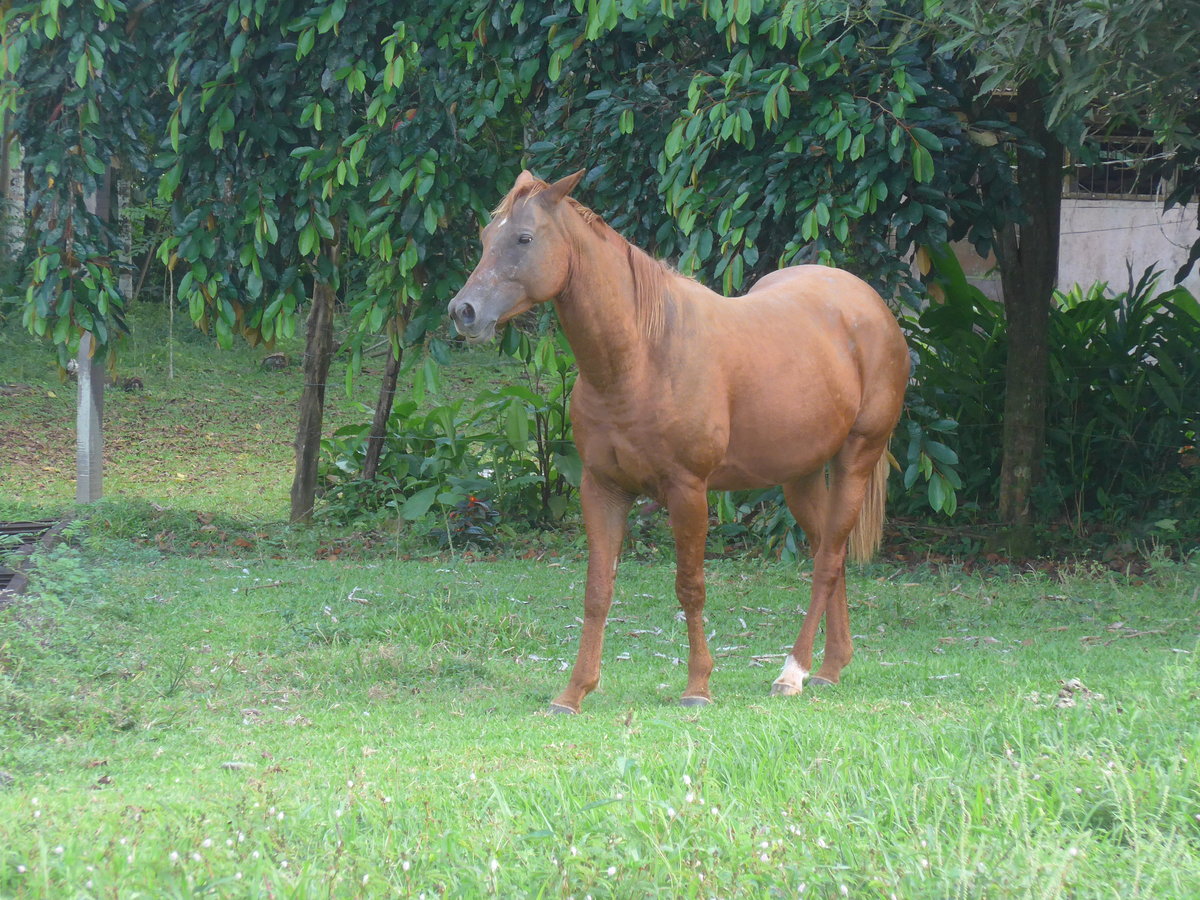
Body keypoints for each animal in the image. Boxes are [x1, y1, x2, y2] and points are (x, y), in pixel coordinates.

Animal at [448, 169, 909, 714]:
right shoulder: (602, 489)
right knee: (826, 555)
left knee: (828, 561)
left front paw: (697, 687)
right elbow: (597, 590)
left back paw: (792, 672)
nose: (463, 311)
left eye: (523, 238)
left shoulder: (687, 492)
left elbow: (690, 587)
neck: (642, 355)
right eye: (484, 238)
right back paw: (831, 666)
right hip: (800, 477)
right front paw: (574, 692)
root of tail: (871, 304)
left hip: (856, 458)